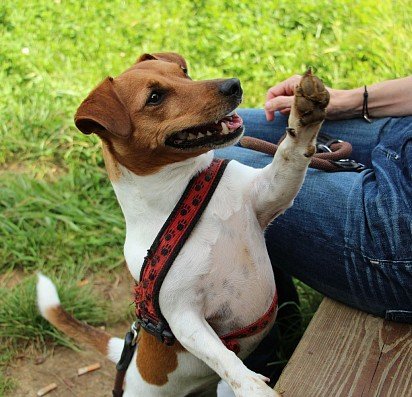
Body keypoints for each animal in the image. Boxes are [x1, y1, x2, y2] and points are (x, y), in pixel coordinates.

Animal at [37, 53, 330, 396]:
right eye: (154, 97)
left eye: (184, 72)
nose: (233, 84)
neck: (184, 192)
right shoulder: (183, 316)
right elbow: (223, 358)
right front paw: (253, 388)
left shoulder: (271, 193)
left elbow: (290, 154)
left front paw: (306, 110)